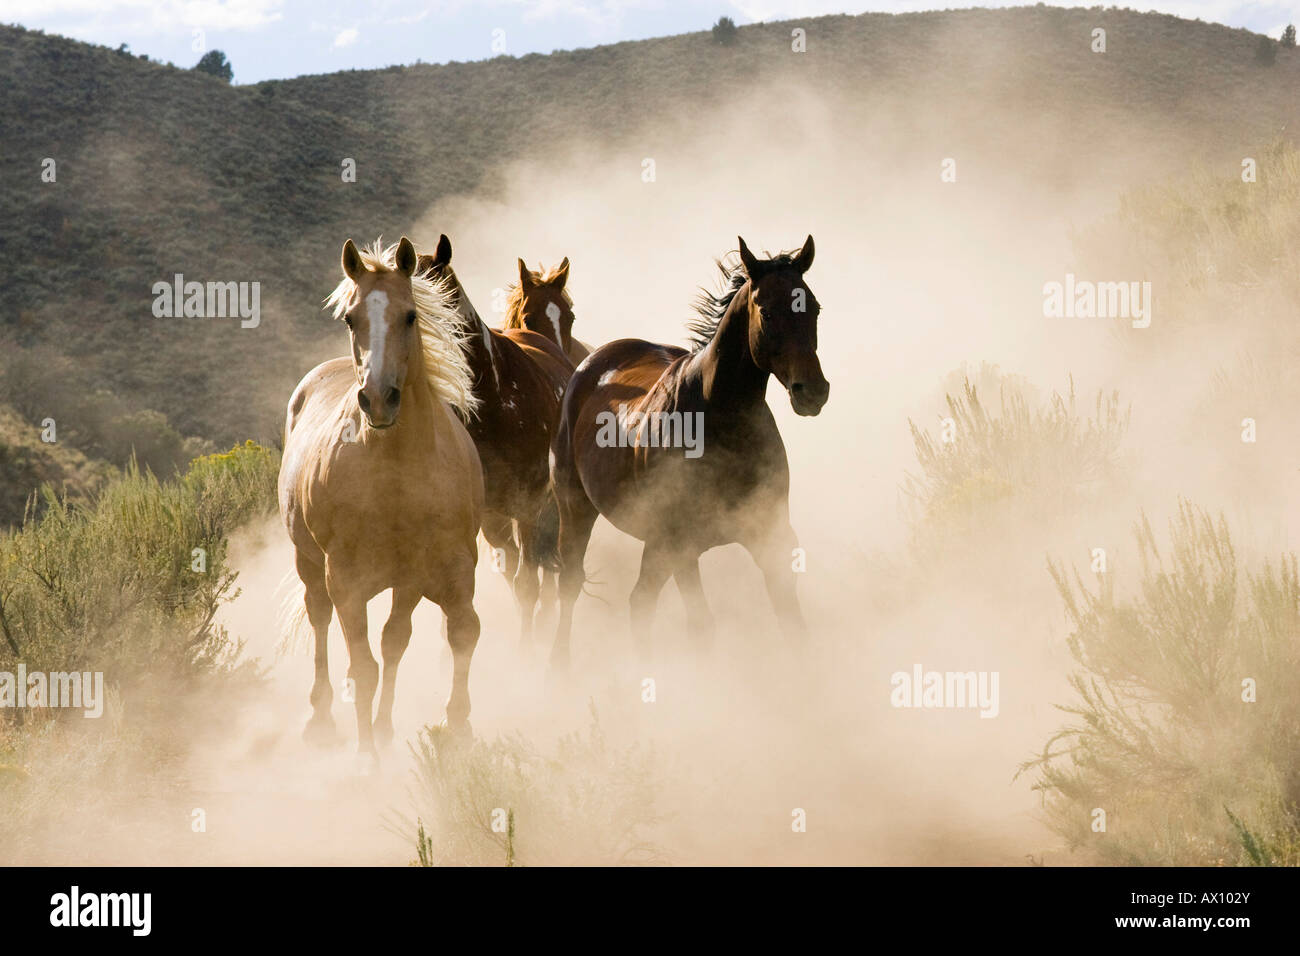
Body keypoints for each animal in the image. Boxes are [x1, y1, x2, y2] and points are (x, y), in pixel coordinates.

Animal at [279, 235, 483, 759]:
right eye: (351, 319)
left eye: (410, 315)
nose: (378, 399)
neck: (396, 472)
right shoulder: (347, 580)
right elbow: (363, 666)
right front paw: (368, 758)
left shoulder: (442, 567)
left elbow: (454, 634)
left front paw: (455, 727)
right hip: (310, 563)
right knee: (321, 621)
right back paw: (322, 720)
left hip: (402, 582)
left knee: (395, 639)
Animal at [548, 235, 832, 671]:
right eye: (767, 311)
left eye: (813, 307)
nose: (812, 391)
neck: (720, 420)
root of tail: (589, 365)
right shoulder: (681, 546)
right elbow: (701, 626)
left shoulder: (770, 536)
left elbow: (791, 618)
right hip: (578, 509)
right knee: (573, 584)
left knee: (640, 601)